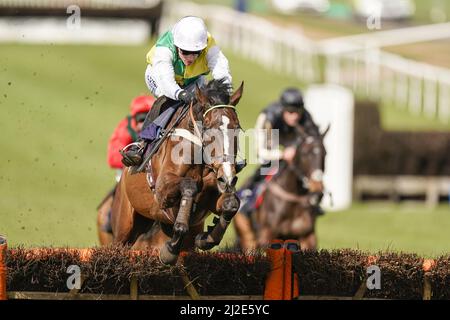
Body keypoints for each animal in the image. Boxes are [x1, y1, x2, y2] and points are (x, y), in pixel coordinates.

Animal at [110, 80, 243, 264]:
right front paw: (170, 250)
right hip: (124, 225)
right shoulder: (162, 189)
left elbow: (232, 204)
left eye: (237, 128)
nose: (227, 177)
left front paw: (207, 238)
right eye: (208, 127)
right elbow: (189, 186)